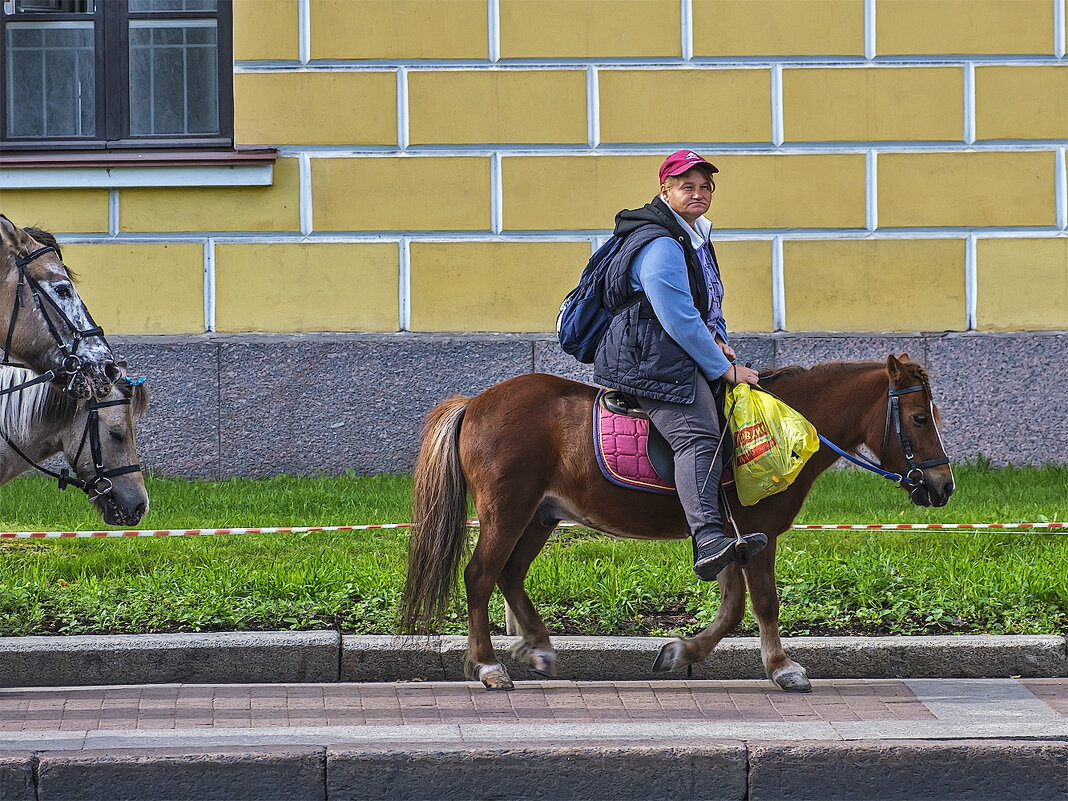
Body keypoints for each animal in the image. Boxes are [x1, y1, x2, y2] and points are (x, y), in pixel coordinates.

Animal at [401, 354, 952, 692]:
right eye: (919, 418)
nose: (943, 486)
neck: (786, 425)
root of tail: (475, 403)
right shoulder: (757, 532)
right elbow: (764, 604)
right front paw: (782, 668)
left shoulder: (730, 538)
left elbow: (732, 608)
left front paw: (681, 651)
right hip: (507, 510)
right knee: (480, 575)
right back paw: (488, 665)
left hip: (539, 516)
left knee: (510, 575)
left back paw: (536, 646)